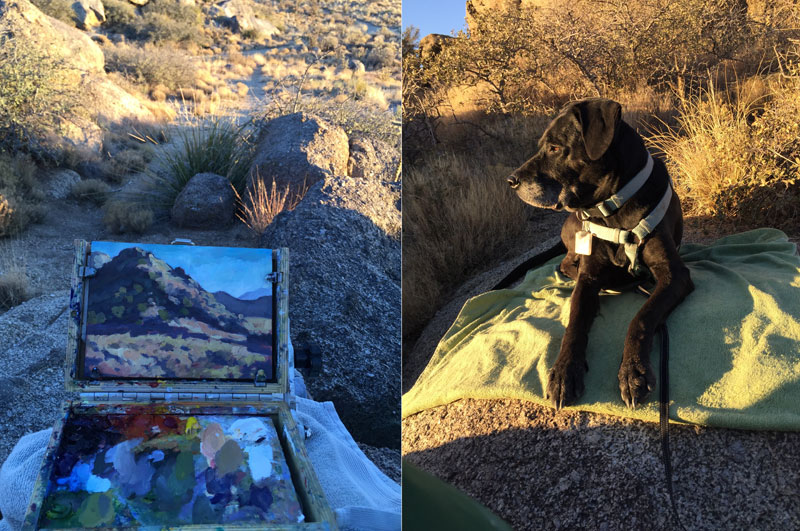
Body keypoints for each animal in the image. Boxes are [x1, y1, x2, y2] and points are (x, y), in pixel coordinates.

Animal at [512, 97, 692, 410]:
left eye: (555, 148)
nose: (511, 180)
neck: (614, 210)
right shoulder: (589, 278)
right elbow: (574, 323)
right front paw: (564, 372)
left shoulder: (675, 275)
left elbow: (641, 317)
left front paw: (632, 371)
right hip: (575, 234)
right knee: (565, 263)